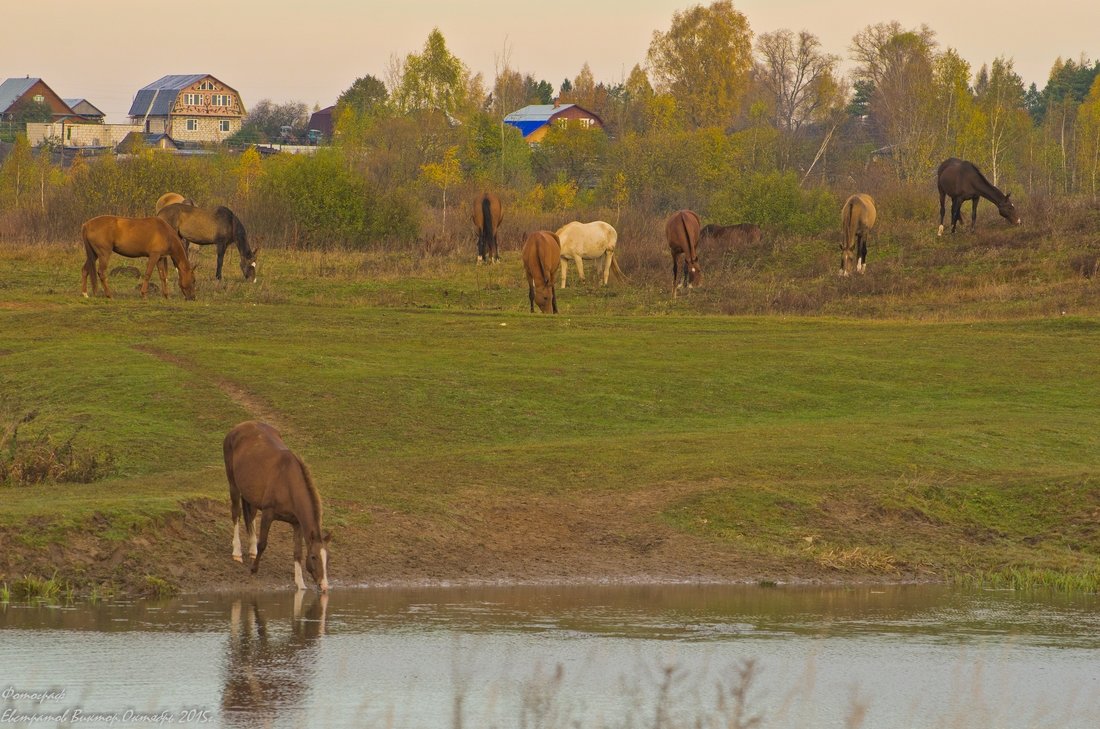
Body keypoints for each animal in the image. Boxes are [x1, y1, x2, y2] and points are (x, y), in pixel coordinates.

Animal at [221, 422, 327, 593]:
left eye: (326, 558)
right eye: (314, 557)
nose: (324, 585)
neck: (288, 483)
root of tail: (237, 428)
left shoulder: (297, 523)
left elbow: (297, 553)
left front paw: (300, 583)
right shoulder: (268, 514)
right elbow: (263, 543)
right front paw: (254, 569)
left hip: (250, 495)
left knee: (250, 516)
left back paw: (251, 550)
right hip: (233, 484)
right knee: (236, 514)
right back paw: (237, 552)